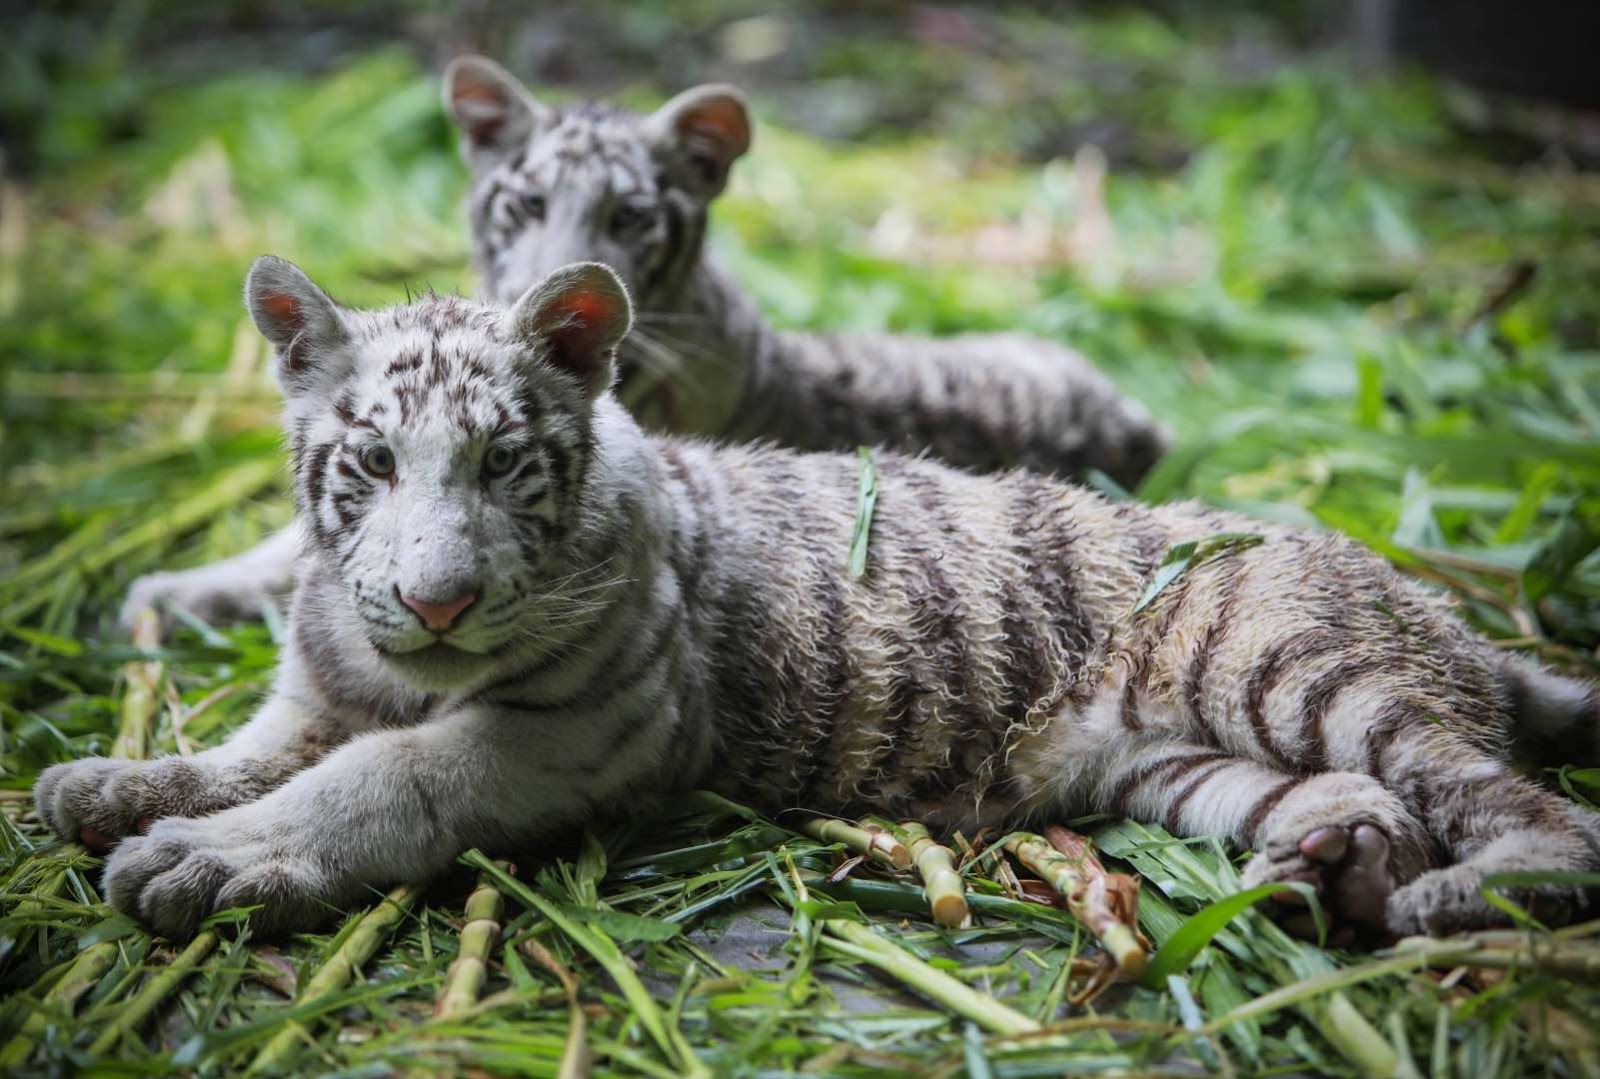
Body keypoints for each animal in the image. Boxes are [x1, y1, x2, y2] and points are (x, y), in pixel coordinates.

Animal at [39, 259, 1600, 941]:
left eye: (504, 463)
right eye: (369, 464)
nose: (433, 604)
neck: (393, 667)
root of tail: (1435, 603)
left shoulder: (568, 732)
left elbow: (378, 777)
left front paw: (209, 859)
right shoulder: (315, 689)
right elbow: (249, 747)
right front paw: (109, 784)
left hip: (1287, 667)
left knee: (1526, 804)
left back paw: (1459, 891)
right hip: (1184, 768)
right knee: (1371, 801)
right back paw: (1334, 872)